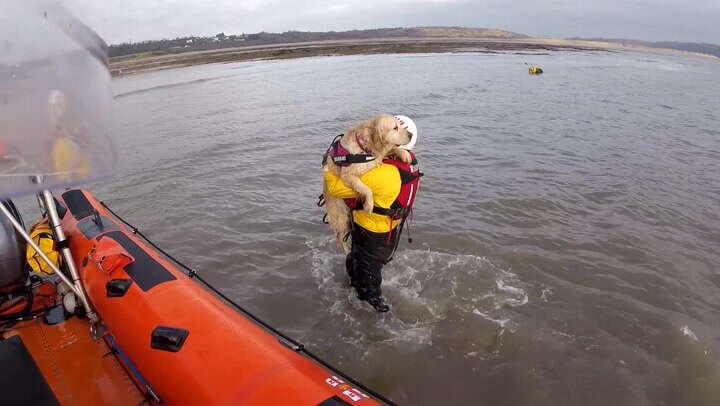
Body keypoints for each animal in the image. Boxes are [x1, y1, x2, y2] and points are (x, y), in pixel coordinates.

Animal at [322, 114, 410, 254]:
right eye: (395, 128)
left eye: (400, 125)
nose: (411, 135)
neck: (366, 148)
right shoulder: (348, 175)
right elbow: (366, 188)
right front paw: (369, 204)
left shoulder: (379, 155)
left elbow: (392, 148)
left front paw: (405, 154)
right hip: (340, 214)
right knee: (340, 236)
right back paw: (347, 251)